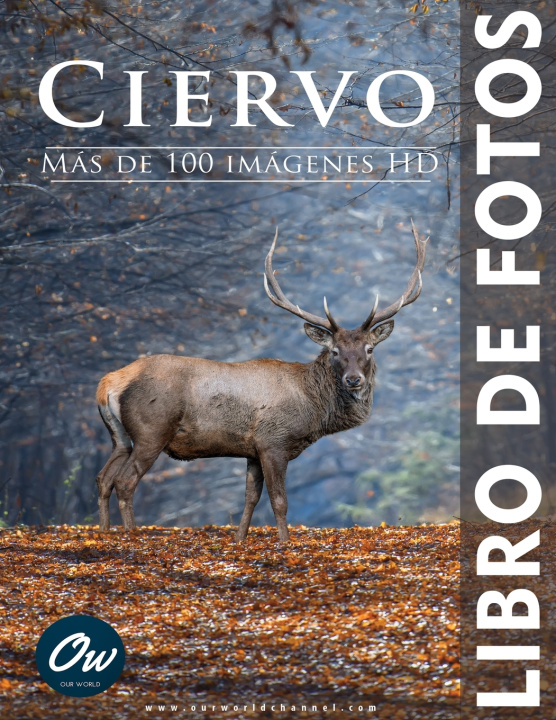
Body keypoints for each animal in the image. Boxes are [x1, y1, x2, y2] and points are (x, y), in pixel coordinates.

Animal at [95, 221, 427, 541]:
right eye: (335, 351)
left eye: (369, 349)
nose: (354, 379)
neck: (313, 408)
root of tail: (108, 384)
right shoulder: (273, 441)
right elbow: (279, 501)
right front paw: (284, 543)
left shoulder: (251, 449)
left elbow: (250, 498)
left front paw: (239, 540)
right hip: (151, 430)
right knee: (125, 481)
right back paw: (131, 535)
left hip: (120, 437)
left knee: (103, 478)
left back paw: (104, 533)